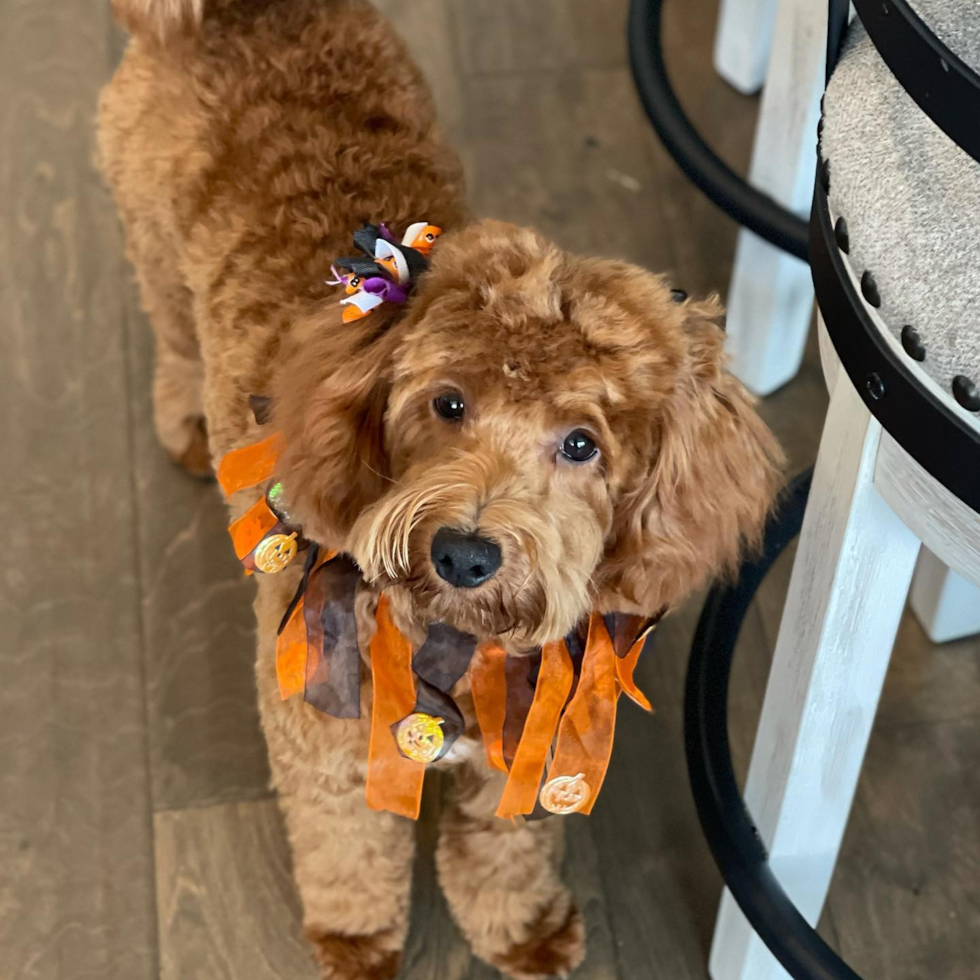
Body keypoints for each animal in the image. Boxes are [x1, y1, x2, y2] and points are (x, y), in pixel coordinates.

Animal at [99, 1, 784, 980]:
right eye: (447, 402)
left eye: (582, 444)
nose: (464, 551)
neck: (458, 636)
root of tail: (237, 12)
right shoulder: (326, 738)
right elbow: (349, 846)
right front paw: (355, 940)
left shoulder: (523, 743)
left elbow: (505, 849)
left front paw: (522, 928)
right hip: (154, 252)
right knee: (174, 344)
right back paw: (189, 424)